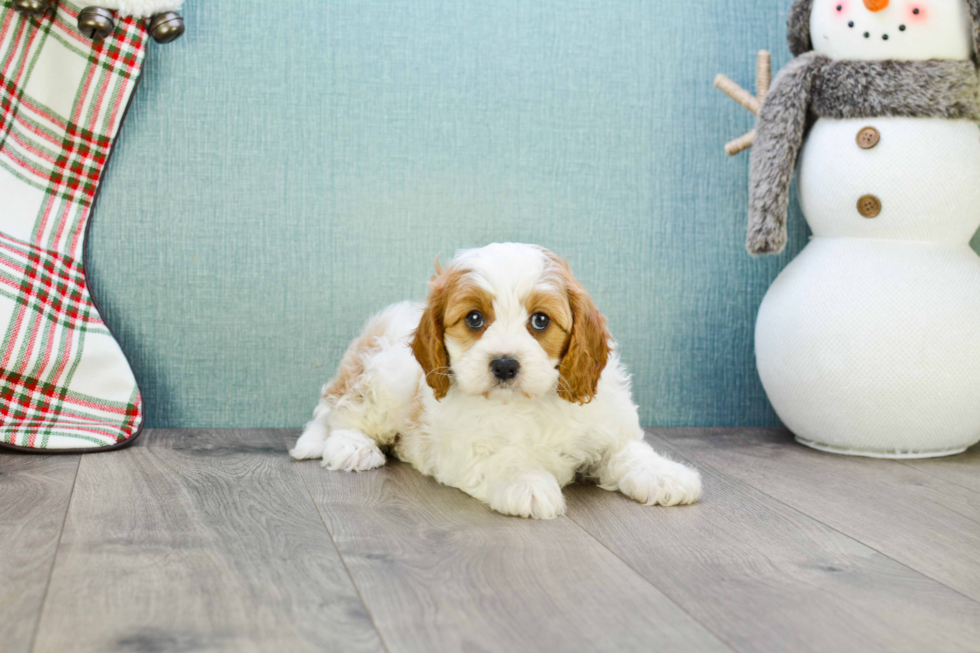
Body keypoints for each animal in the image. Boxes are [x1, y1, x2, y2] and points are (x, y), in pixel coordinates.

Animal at [288, 242, 700, 516]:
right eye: (474, 319)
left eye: (540, 320)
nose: (504, 365)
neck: (528, 401)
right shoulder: (464, 448)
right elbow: (504, 458)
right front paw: (527, 483)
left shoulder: (607, 426)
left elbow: (629, 451)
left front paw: (664, 475)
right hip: (387, 376)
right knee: (344, 412)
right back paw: (351, 447)